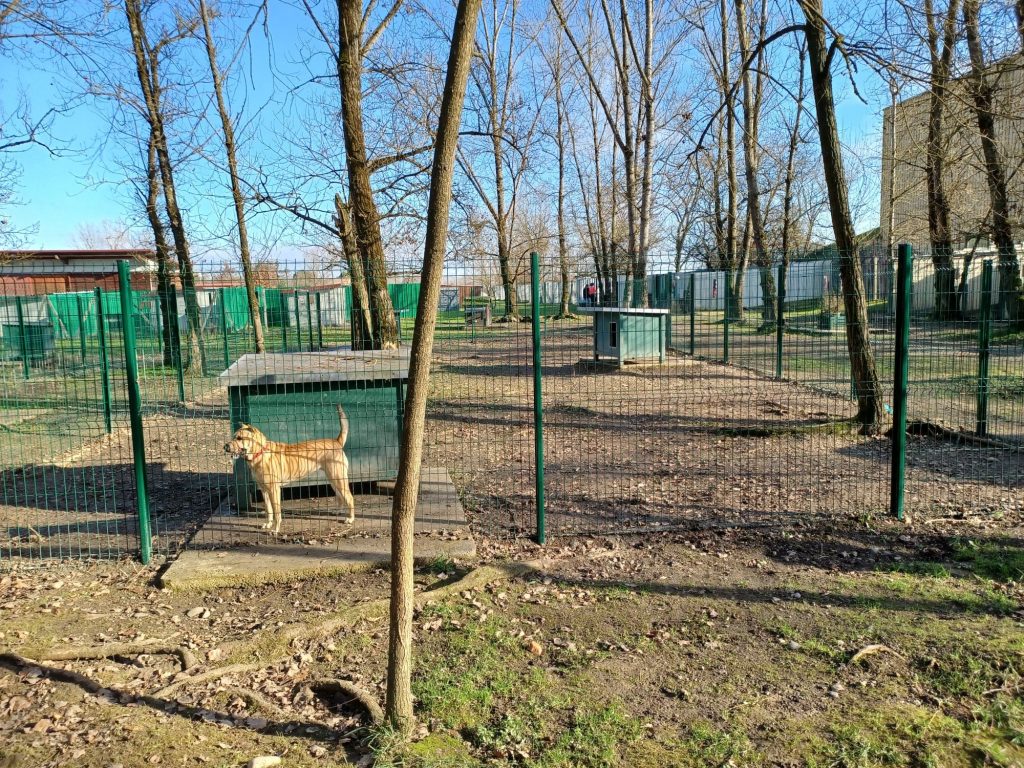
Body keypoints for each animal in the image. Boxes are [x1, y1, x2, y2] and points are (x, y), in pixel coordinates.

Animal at [225, 409, 356, 536]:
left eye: (239, 438)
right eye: (234, 437)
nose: (225, 446)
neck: (260, 452)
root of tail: (337, 442)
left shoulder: (274, 490)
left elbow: (277, 512)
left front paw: (275, 529)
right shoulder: (264, 490)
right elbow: (269, 510)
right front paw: (268, 524)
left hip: (338, 478)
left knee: (349, 498)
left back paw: (350, 519)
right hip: (333, 479)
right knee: (340, 496)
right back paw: (338, 511)